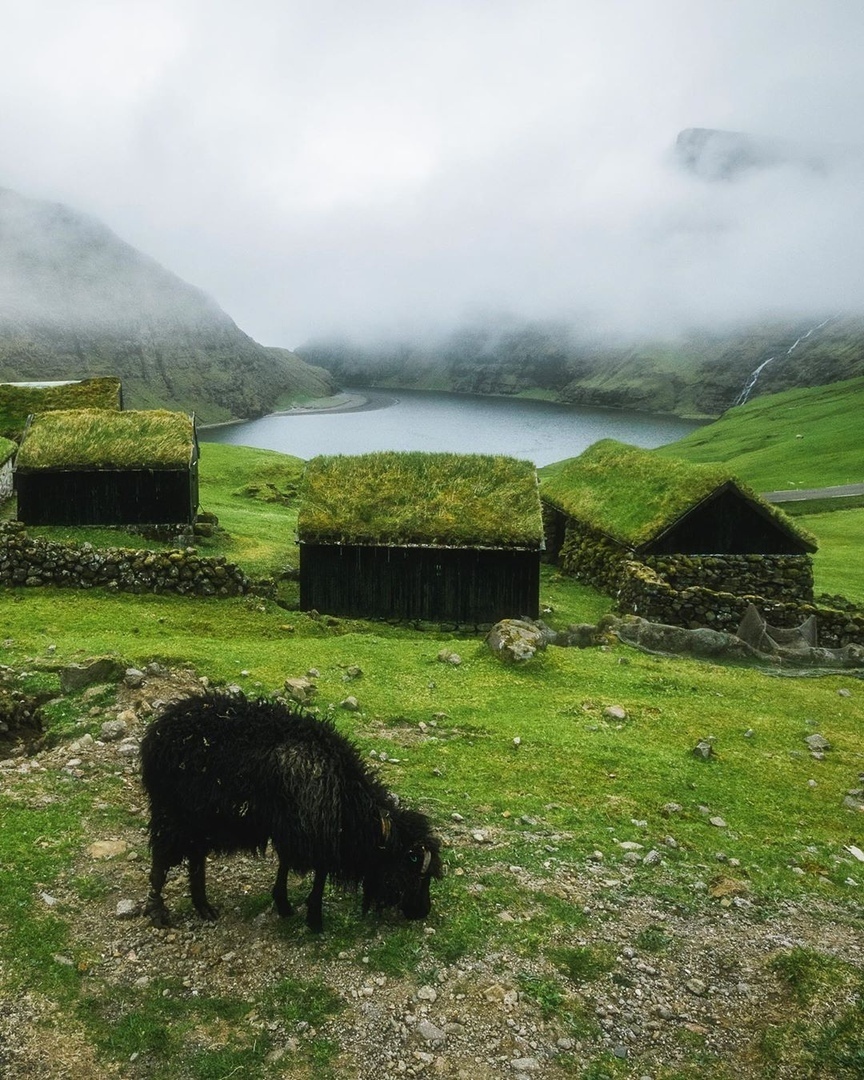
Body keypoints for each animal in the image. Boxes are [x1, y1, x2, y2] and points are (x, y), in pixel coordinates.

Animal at [140, 695, 442, 933]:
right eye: (416, 873)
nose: (422, 912)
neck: (347, 801)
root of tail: (157, 730)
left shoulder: (294, 828)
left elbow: (285, 865)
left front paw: (284, 904)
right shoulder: (311, 831)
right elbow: (319, 874)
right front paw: (314, 919)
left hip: (199, 819)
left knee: (195, 858)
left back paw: (203, 906)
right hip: (172, 811)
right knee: (161, 860)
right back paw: (157, 911)